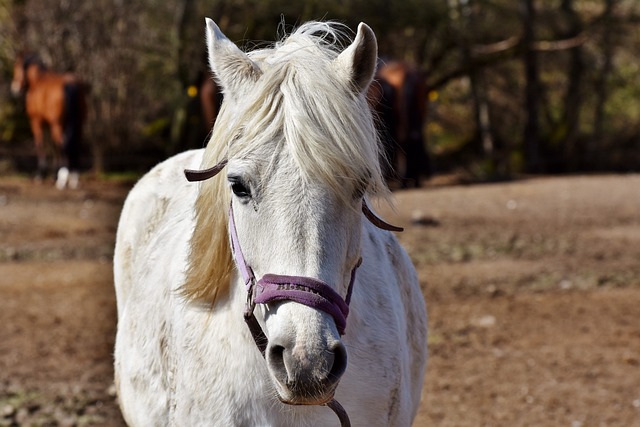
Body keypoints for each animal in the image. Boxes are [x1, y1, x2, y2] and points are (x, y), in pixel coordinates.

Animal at [11, 53, 87, 189]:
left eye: (17, 68)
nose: (14, 88)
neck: (37, 82)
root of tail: (71, 84)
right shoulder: (48, 123)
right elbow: (52, 145)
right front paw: (53, 174)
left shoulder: (36, 121)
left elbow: (41, 144)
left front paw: (41, 174)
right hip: (78, 124)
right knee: (75, 144)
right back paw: (74, 177)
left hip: (58, 125)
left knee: (63, 143)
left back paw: (63, 178)